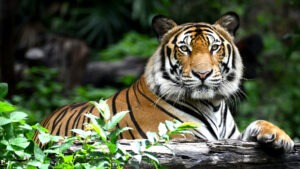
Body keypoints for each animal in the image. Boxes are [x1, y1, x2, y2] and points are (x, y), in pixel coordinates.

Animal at [32, 12, 292, 153]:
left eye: (214, 47)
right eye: (185, 49)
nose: (203, 74)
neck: (213, 105)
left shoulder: (230, 139)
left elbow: (257, 124)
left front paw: (280, 137)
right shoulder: (177, 139)